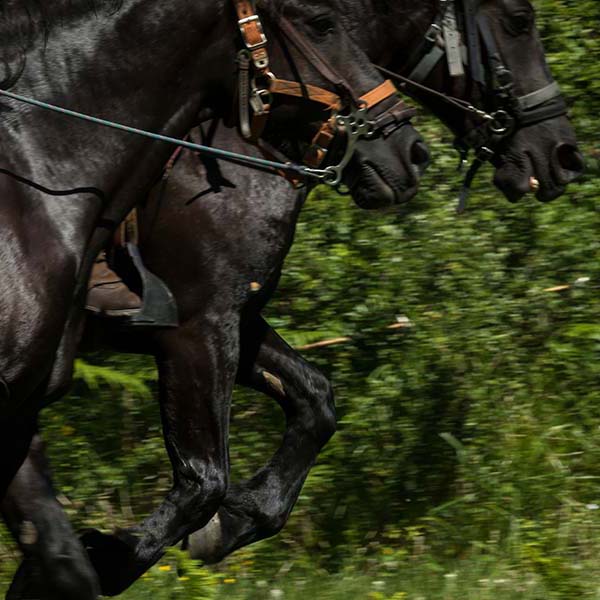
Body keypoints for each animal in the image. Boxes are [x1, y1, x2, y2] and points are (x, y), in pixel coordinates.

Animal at [2, 0, 584, 596]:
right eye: (518, 20)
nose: (563, 154)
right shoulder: (197, 328)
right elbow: (203, 479)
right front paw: (108, 556)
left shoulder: (232, 320)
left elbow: (315, 403)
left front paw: (237, 520)